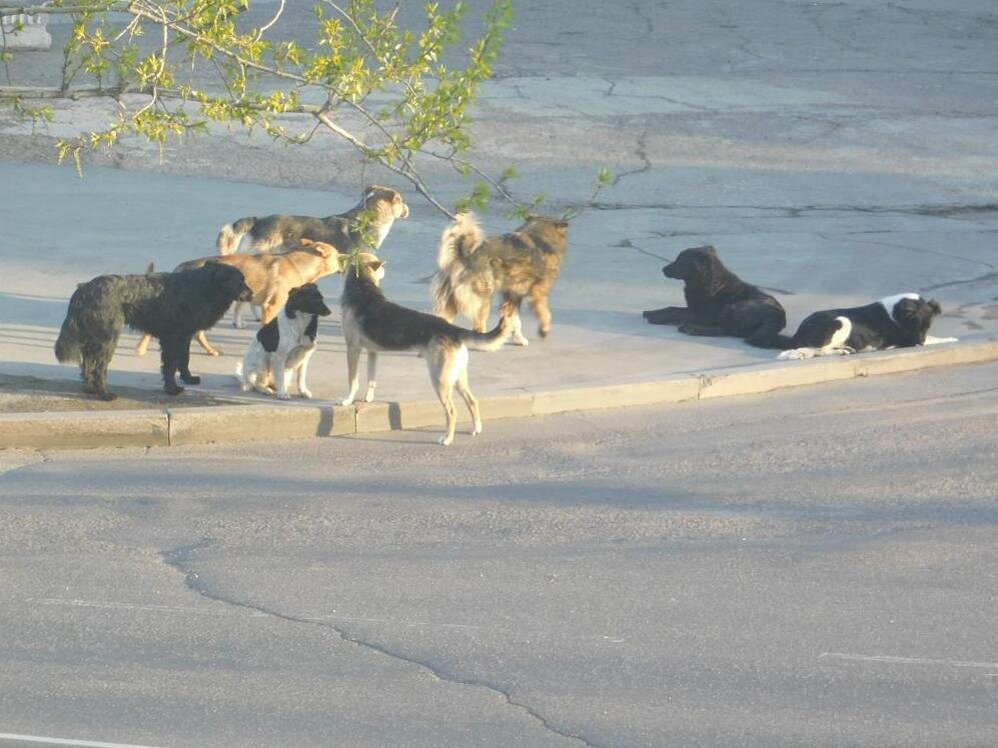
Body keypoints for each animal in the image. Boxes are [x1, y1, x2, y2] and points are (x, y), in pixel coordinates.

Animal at [54, 264, 252, 400]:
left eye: (244, 279)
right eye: (240, 280)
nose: (252, 293)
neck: (204, 286)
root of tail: (84, 289)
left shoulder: (185, 336)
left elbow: (184, 359)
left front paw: (188, 378)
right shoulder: (173, 338)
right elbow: (171, 365)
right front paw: (172, 389)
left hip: (94, 337)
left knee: (87, 363)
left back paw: (90, 389)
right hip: (108, 338)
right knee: (99, 367)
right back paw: (105, 394)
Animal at [430, 212, 572, 346]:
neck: (539, 235)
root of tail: (465, 255)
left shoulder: (512, 295)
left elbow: (514, 320)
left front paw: (518, 339)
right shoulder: (538, 293)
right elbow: (546, 314)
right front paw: (544, 330)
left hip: (453, 299)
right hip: (484, 297)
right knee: (478, 326)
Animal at [640, 247, 788, 350]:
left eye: (680, 261)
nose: (663, 269)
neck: (707, 280)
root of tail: (779, 316)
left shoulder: (702, 315)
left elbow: (674, 310)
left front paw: (657, 317)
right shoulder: (693, 309)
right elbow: (672, 308)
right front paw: (652, 312)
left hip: (733, 308)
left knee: (726, 330)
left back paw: (692, 329)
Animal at [764, 292, 960, 360]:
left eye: (927, 327)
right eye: (916, 326)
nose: (919, 343)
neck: (897, 313)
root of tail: (799, 331)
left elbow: (932, 338)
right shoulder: (907, 339)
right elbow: (934, 340)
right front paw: (950, 339)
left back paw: (844, 350)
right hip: (841, 320)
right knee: (816, 349)